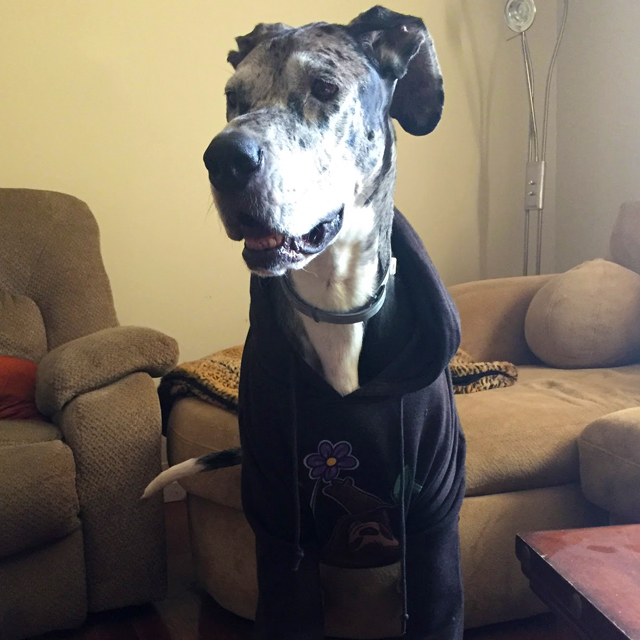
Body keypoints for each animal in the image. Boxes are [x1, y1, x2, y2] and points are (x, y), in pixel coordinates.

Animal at [145, 7, 466, 639]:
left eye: (323, 88)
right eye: (232, 98)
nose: (224, 159)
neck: (333, 299)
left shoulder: (435, 520)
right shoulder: (277, 525)